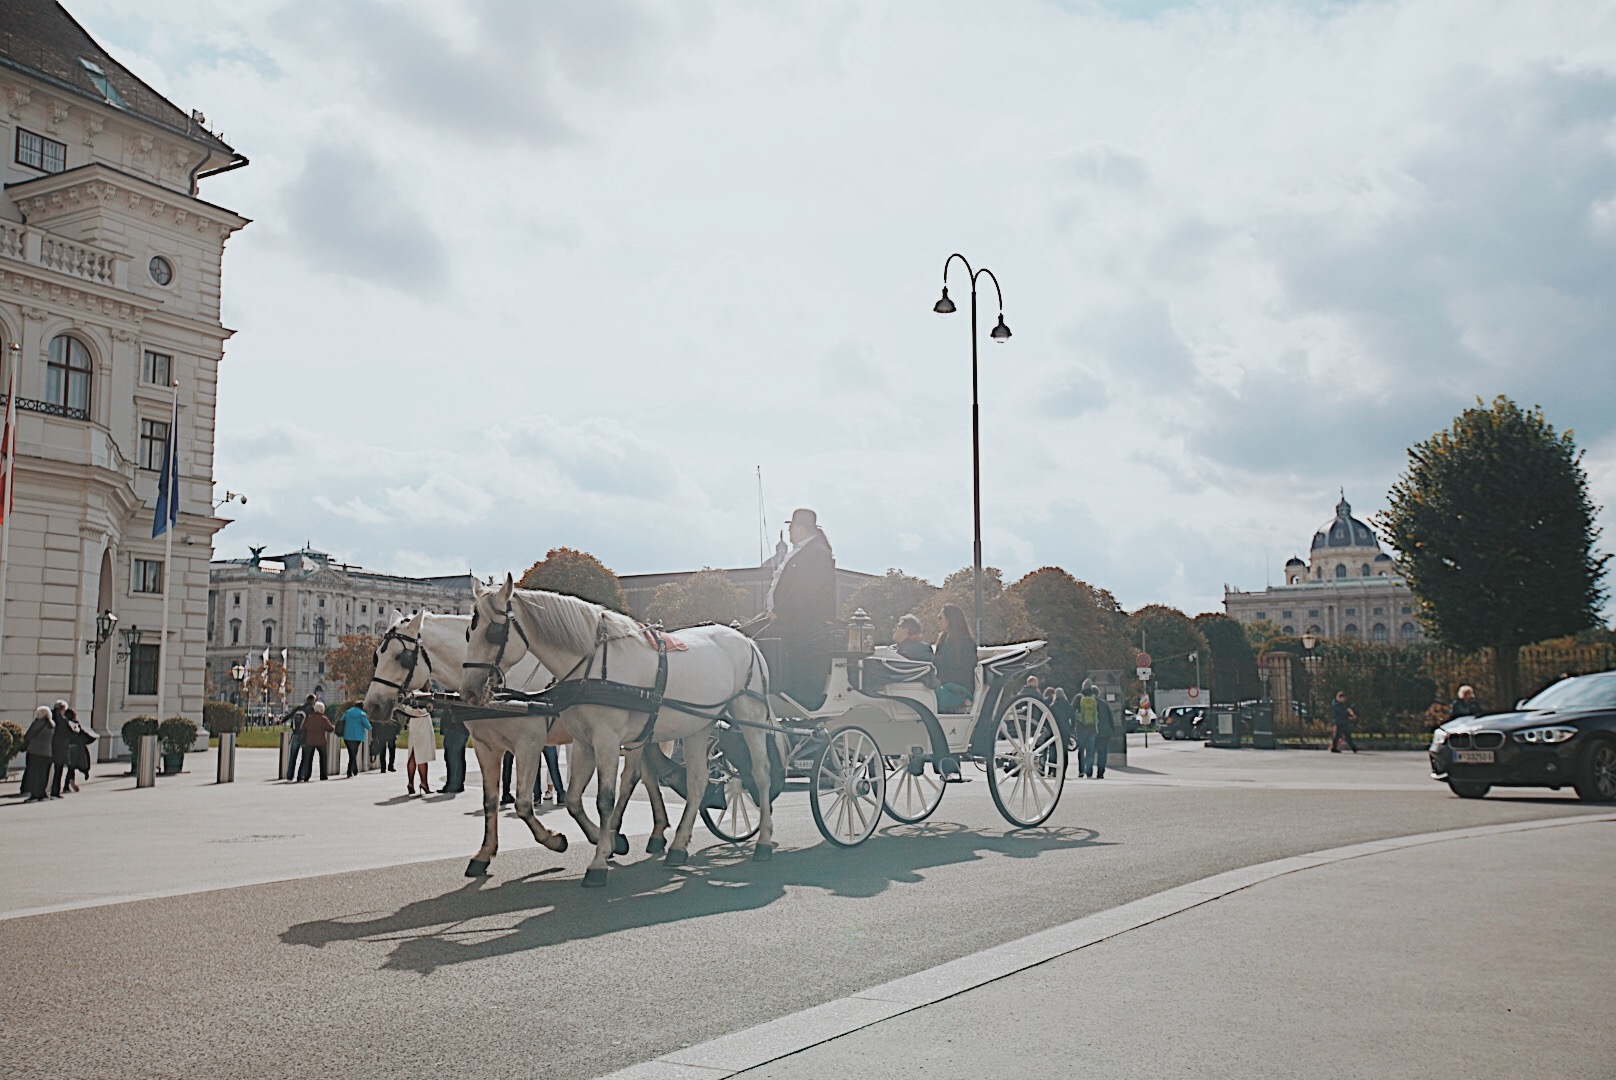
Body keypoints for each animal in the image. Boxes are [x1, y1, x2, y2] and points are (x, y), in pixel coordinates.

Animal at [363, 607, 672, 879]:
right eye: (377, 656)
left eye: (402, 657)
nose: (372, 706)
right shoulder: (486, 747)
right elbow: (490, 801)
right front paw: (484, 853)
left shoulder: (529, 745)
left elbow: (523, 804)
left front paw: (556, 839)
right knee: (649, 776)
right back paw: (657, 831)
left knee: (633, 777)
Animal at [462, 572, 775, 885]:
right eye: (468, 632)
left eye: (494, 632)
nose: (469, 692)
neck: (590, 667)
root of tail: (745, 639)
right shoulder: (583, 742)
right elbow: (573, 798)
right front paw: (607, 841)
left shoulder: (603, 740)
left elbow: (605, 798)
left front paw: (599, 859)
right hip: (698, 725)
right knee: (697, 782)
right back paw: (678, 846)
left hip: (750, 714)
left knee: (760, 773)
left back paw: (764, 841)